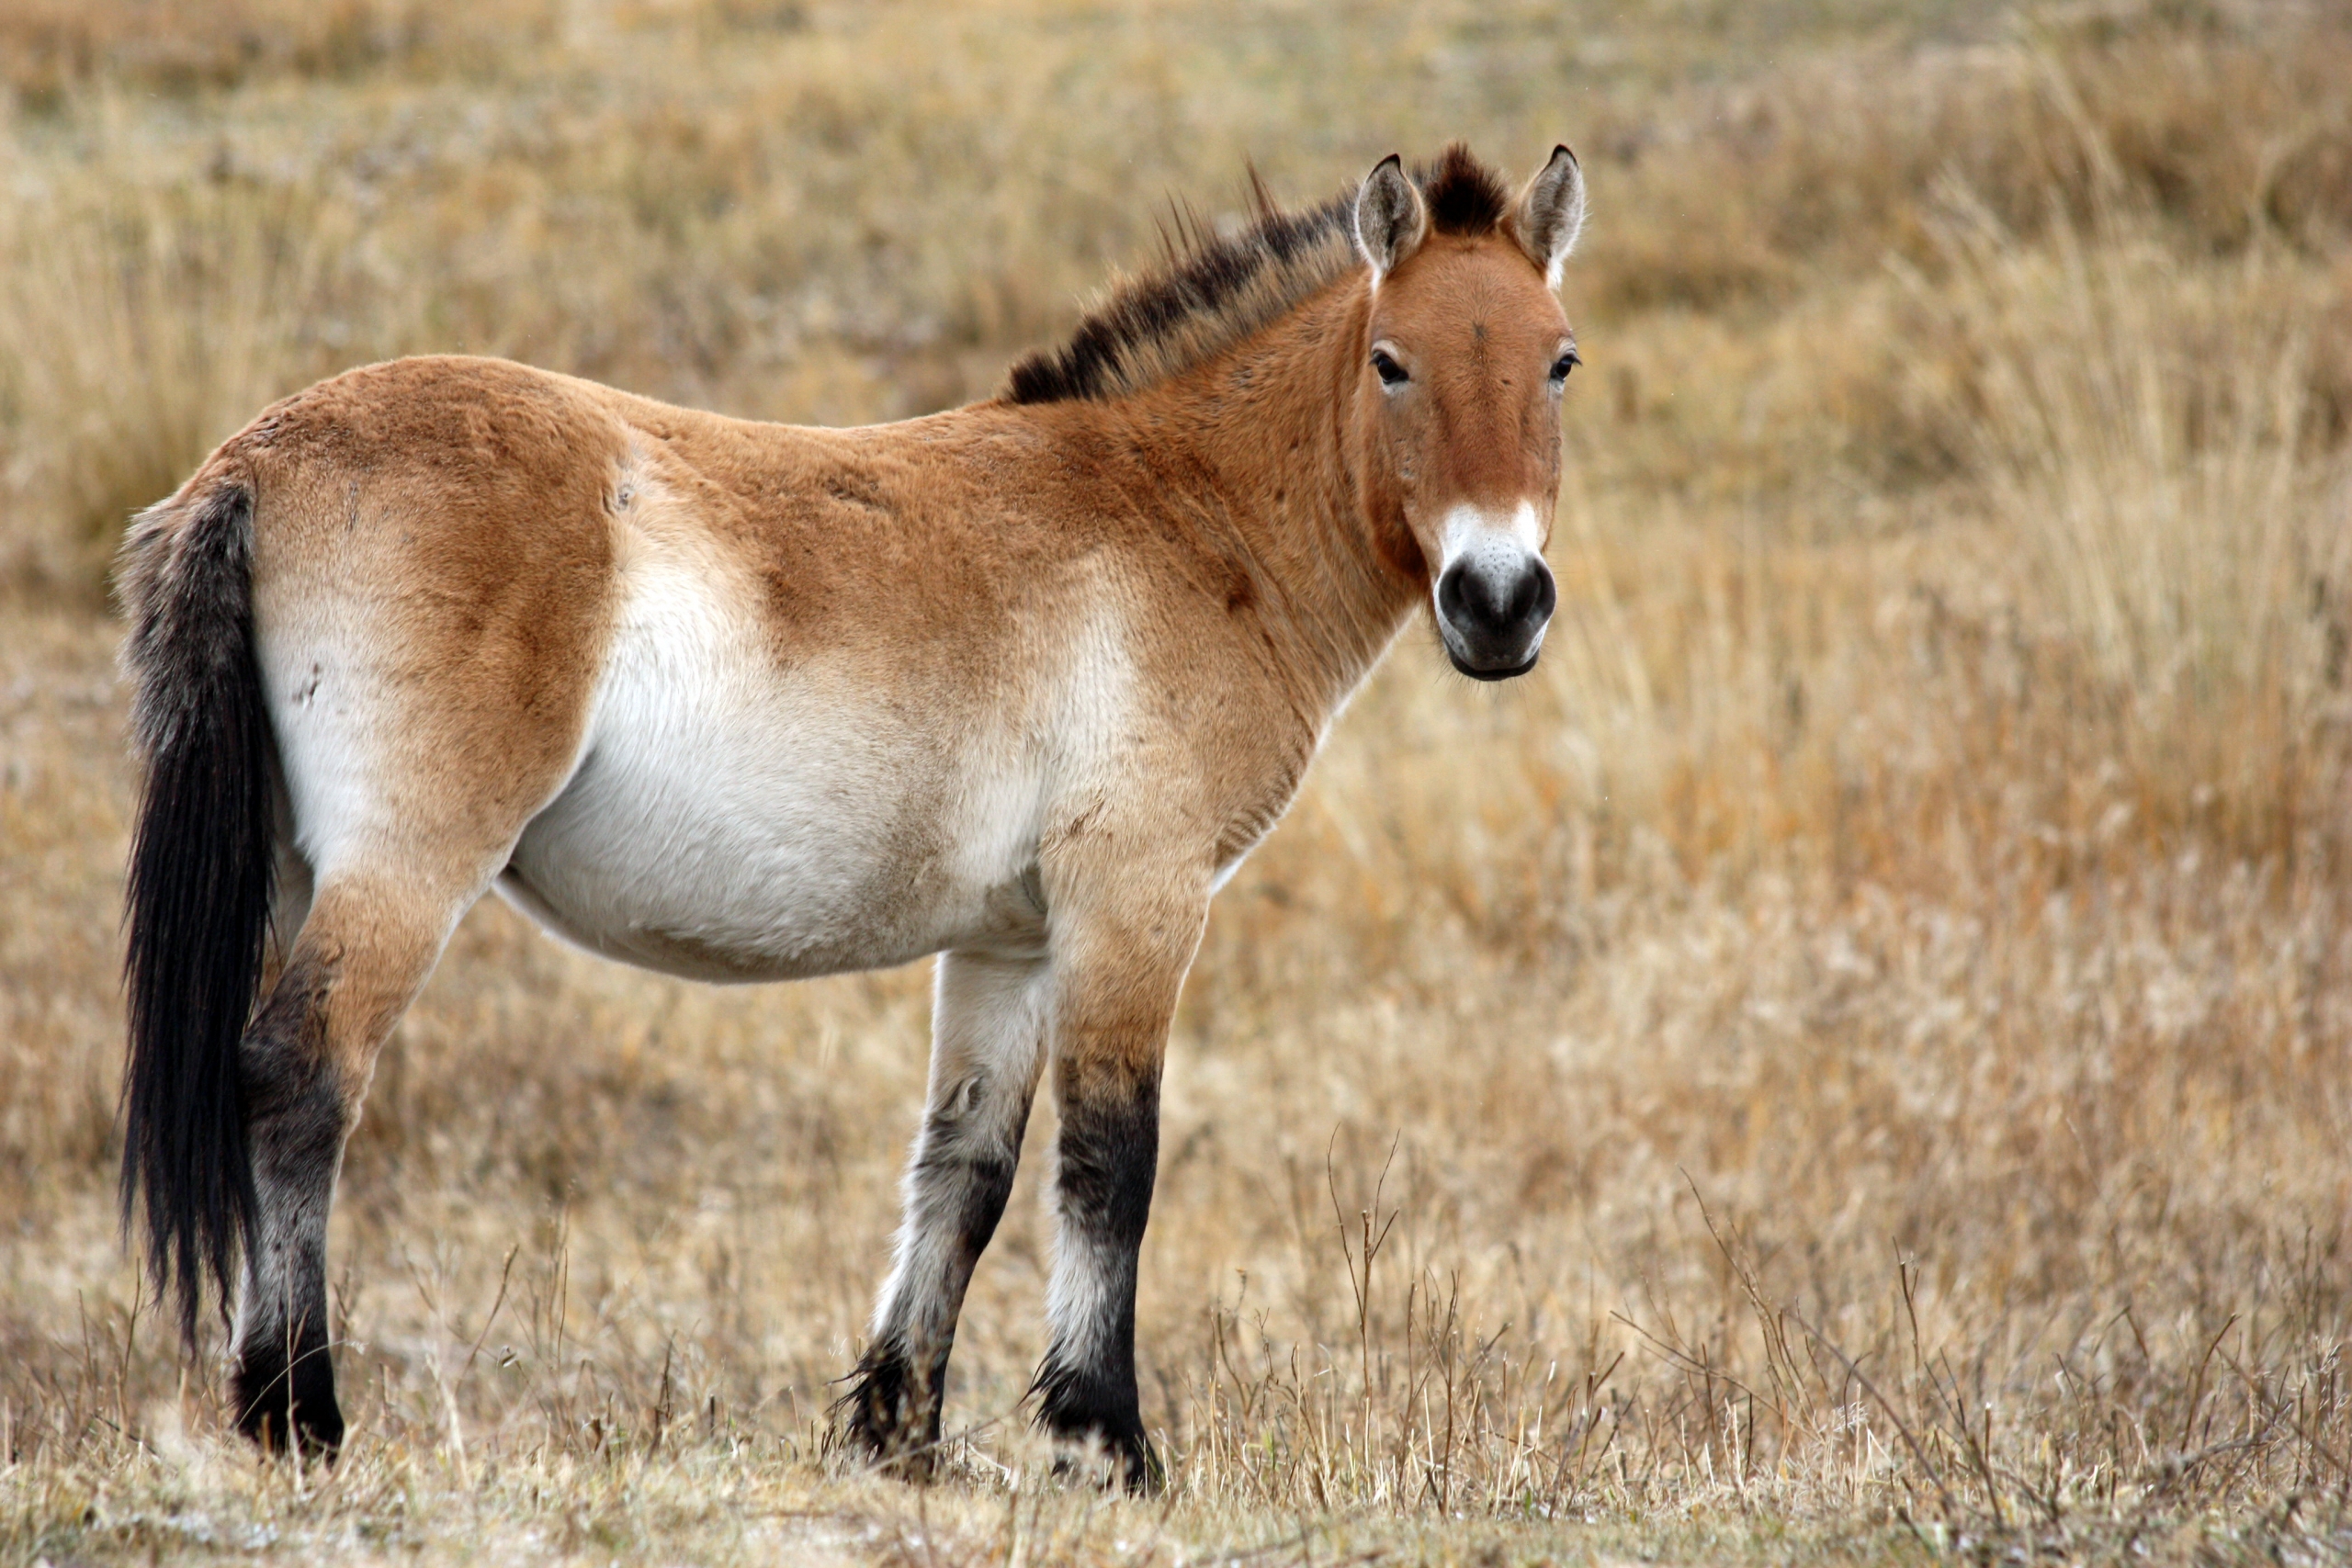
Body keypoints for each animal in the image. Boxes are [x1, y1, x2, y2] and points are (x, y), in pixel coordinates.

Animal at [129, 141, 1589, 1495]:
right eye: (1393, 362)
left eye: (1559, 362)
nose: (1500, 601)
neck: (1183, 516)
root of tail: (253, 462)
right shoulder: (1138, 901)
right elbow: (1111, 1160)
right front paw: (1107, 1444)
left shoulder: (1009, 942)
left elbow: (966, 1170)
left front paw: (899, 1436)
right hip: (406, 869)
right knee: (303, 1072)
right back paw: (299, 1416)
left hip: (293, 865)